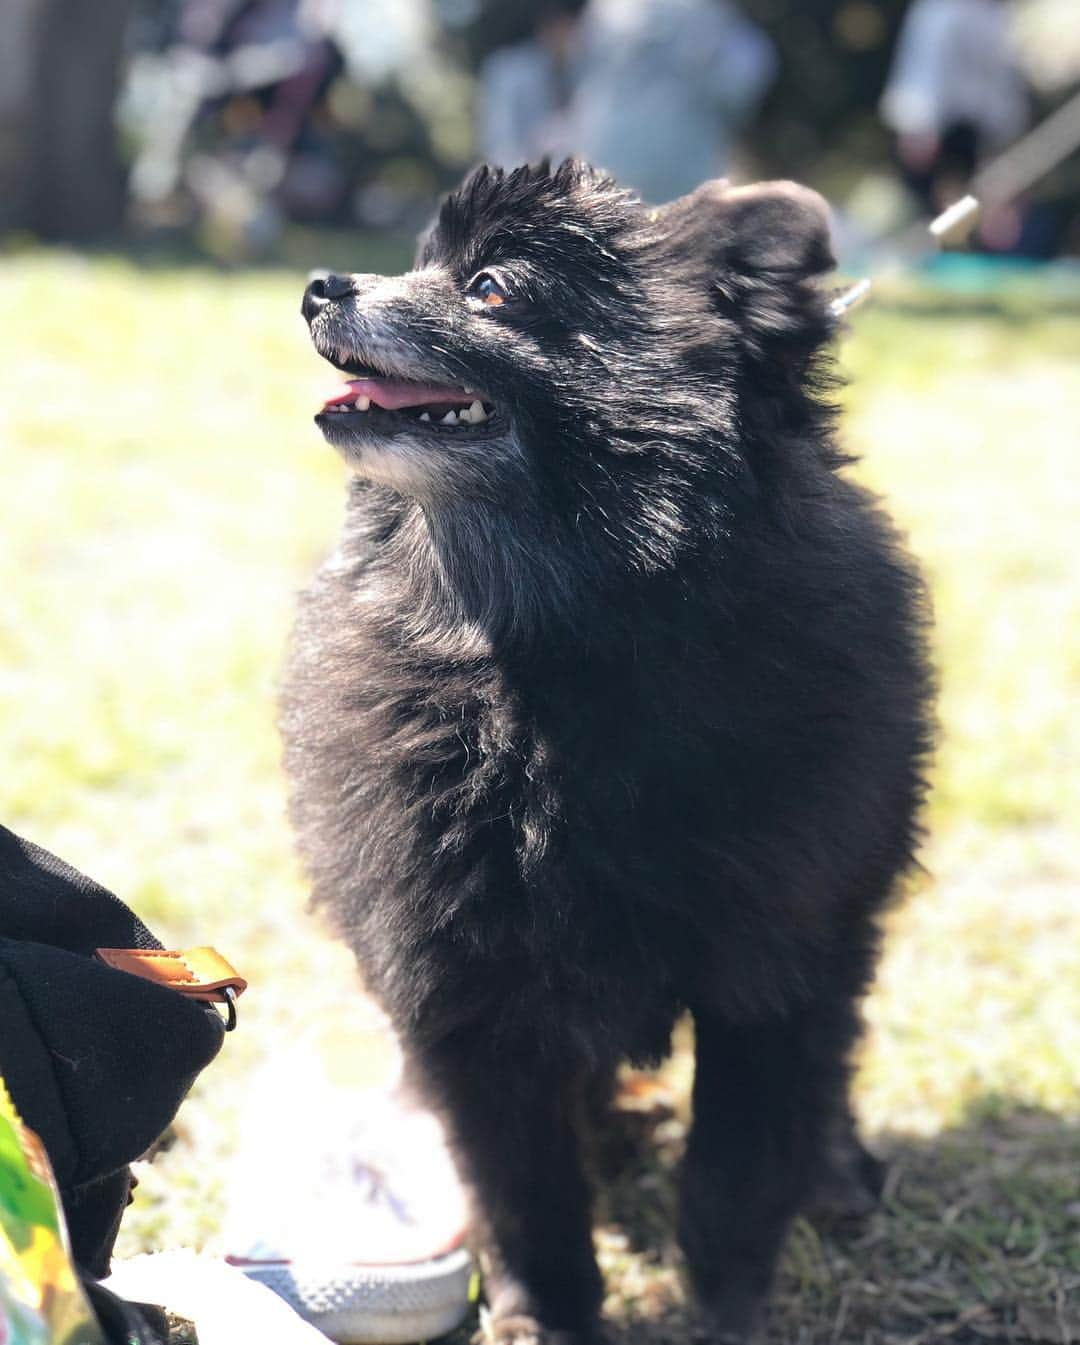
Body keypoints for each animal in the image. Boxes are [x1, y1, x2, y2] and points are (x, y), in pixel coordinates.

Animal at [282, 165, 936, 1345]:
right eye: (421, 259)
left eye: (489, 286)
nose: (320, 285)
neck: (550, 651)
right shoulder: (465, 982)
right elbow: (523, 1182)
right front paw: (549, 1311)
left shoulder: (768, 962)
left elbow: (734, 1174)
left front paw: (726, 1307)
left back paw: (831, 1170)